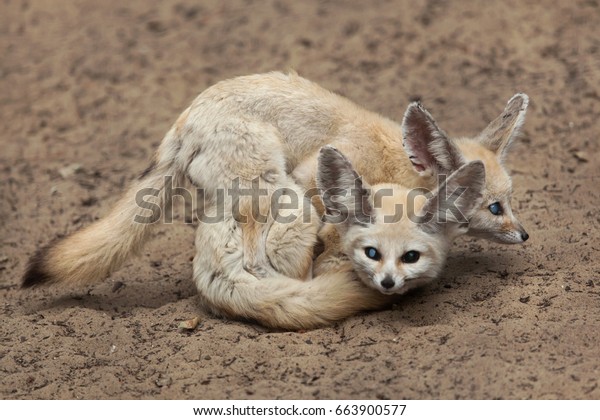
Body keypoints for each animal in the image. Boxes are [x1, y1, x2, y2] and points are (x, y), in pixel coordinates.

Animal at [19, 71, 524, 292]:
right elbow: (326, 237)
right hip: (277, 191)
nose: (524, 235)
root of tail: (184, 122)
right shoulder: (315, 179)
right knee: (253, 252)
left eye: (509, 202)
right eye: (494, 208)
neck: (395, 160)